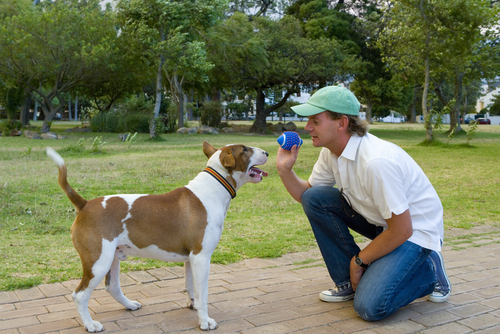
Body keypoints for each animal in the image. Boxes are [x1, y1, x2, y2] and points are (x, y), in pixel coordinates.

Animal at [45, 142, 268, 332]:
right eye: (245, 149)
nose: (266, 152)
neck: (213, 187)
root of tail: (84, 204)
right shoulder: (201, 257)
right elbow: (203, 294)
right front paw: (205, 321)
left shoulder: (191, 259)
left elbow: (192, 288)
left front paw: (194, 307)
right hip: (98, 261)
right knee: (80, 295)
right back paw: (90, 324)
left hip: (111, 257)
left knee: (112, 286)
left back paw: (129, 305)